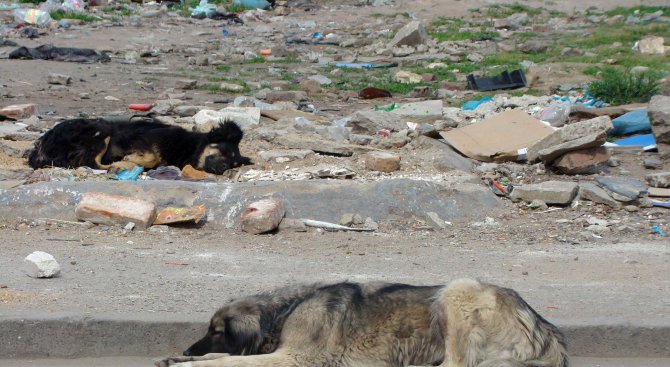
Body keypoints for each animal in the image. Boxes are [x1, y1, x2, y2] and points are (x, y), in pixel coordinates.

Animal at [27, 118, 251, 175]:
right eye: (223, 151)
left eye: (234, 164)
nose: (224, 169)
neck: (188, 148)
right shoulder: (134, 137)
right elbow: (152, 156)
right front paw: (128, 161)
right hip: (102, 128)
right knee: (93, 161)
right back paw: (120, 165)